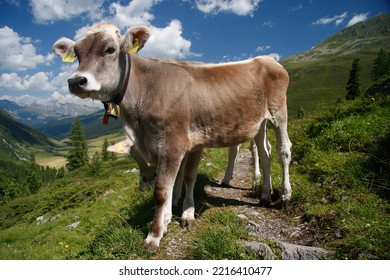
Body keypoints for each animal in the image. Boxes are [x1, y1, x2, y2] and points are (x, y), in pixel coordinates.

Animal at [54, 23, 292, 248]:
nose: (75, 81)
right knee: (265, 154)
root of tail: (268, 60)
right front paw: (169, 217)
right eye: (77, 53)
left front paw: (157, 233)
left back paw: (285, 194)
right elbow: (173, 181)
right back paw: (264, 194)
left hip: (279, 112)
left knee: (283, 151)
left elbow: (166, 187)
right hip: (258, 123)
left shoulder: (175, 142)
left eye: (110, 49)